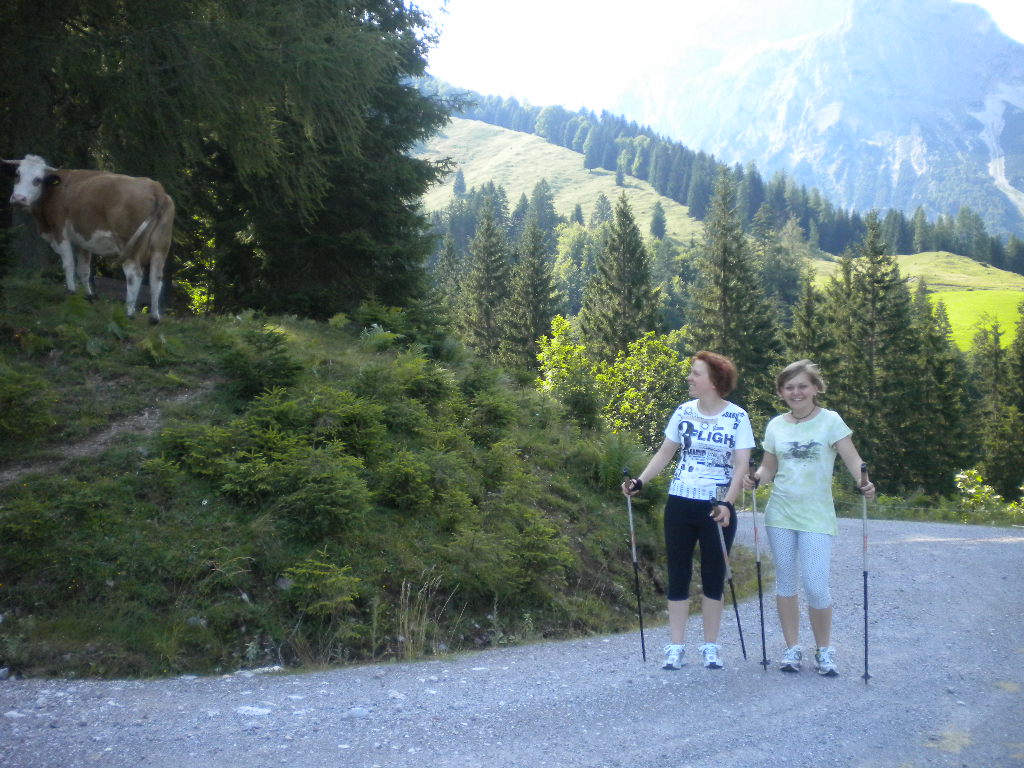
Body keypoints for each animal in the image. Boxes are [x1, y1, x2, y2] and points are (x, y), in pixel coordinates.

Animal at [3, 154, 176, 323]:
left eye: (37, 179)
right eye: (17, 174)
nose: (18, 198)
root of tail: (155, 187)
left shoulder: (60, 233)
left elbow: (69, 264)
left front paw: (71, 291)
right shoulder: (83, 242)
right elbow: (84, 270)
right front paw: (88, 296)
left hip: (130, 247)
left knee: (134, 275)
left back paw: (129, 313)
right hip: (160, 248)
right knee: (156, 278)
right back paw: (154, 317)